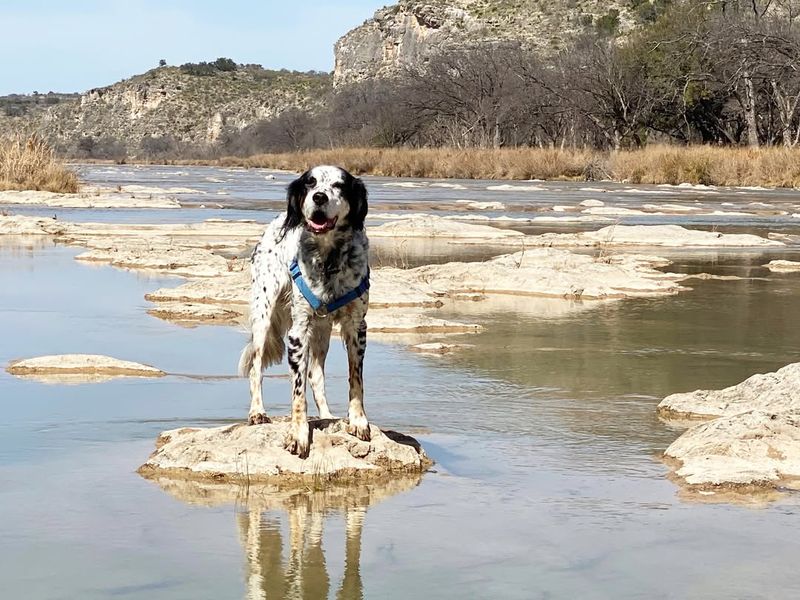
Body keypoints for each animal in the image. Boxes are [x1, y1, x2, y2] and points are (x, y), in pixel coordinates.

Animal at [238, 166, 372, 458]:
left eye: (339, 185)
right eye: (310, 183)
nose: (319, 197)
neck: (328, 258)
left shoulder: (356, 326)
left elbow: (356, 379)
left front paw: (358, 421)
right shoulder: (298, 332)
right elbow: (297, 392)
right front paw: (298, 434)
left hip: (322, 332)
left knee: (316, 375)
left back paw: (327, 415)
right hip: (264, 315)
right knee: (256, 366)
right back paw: (257, 412)